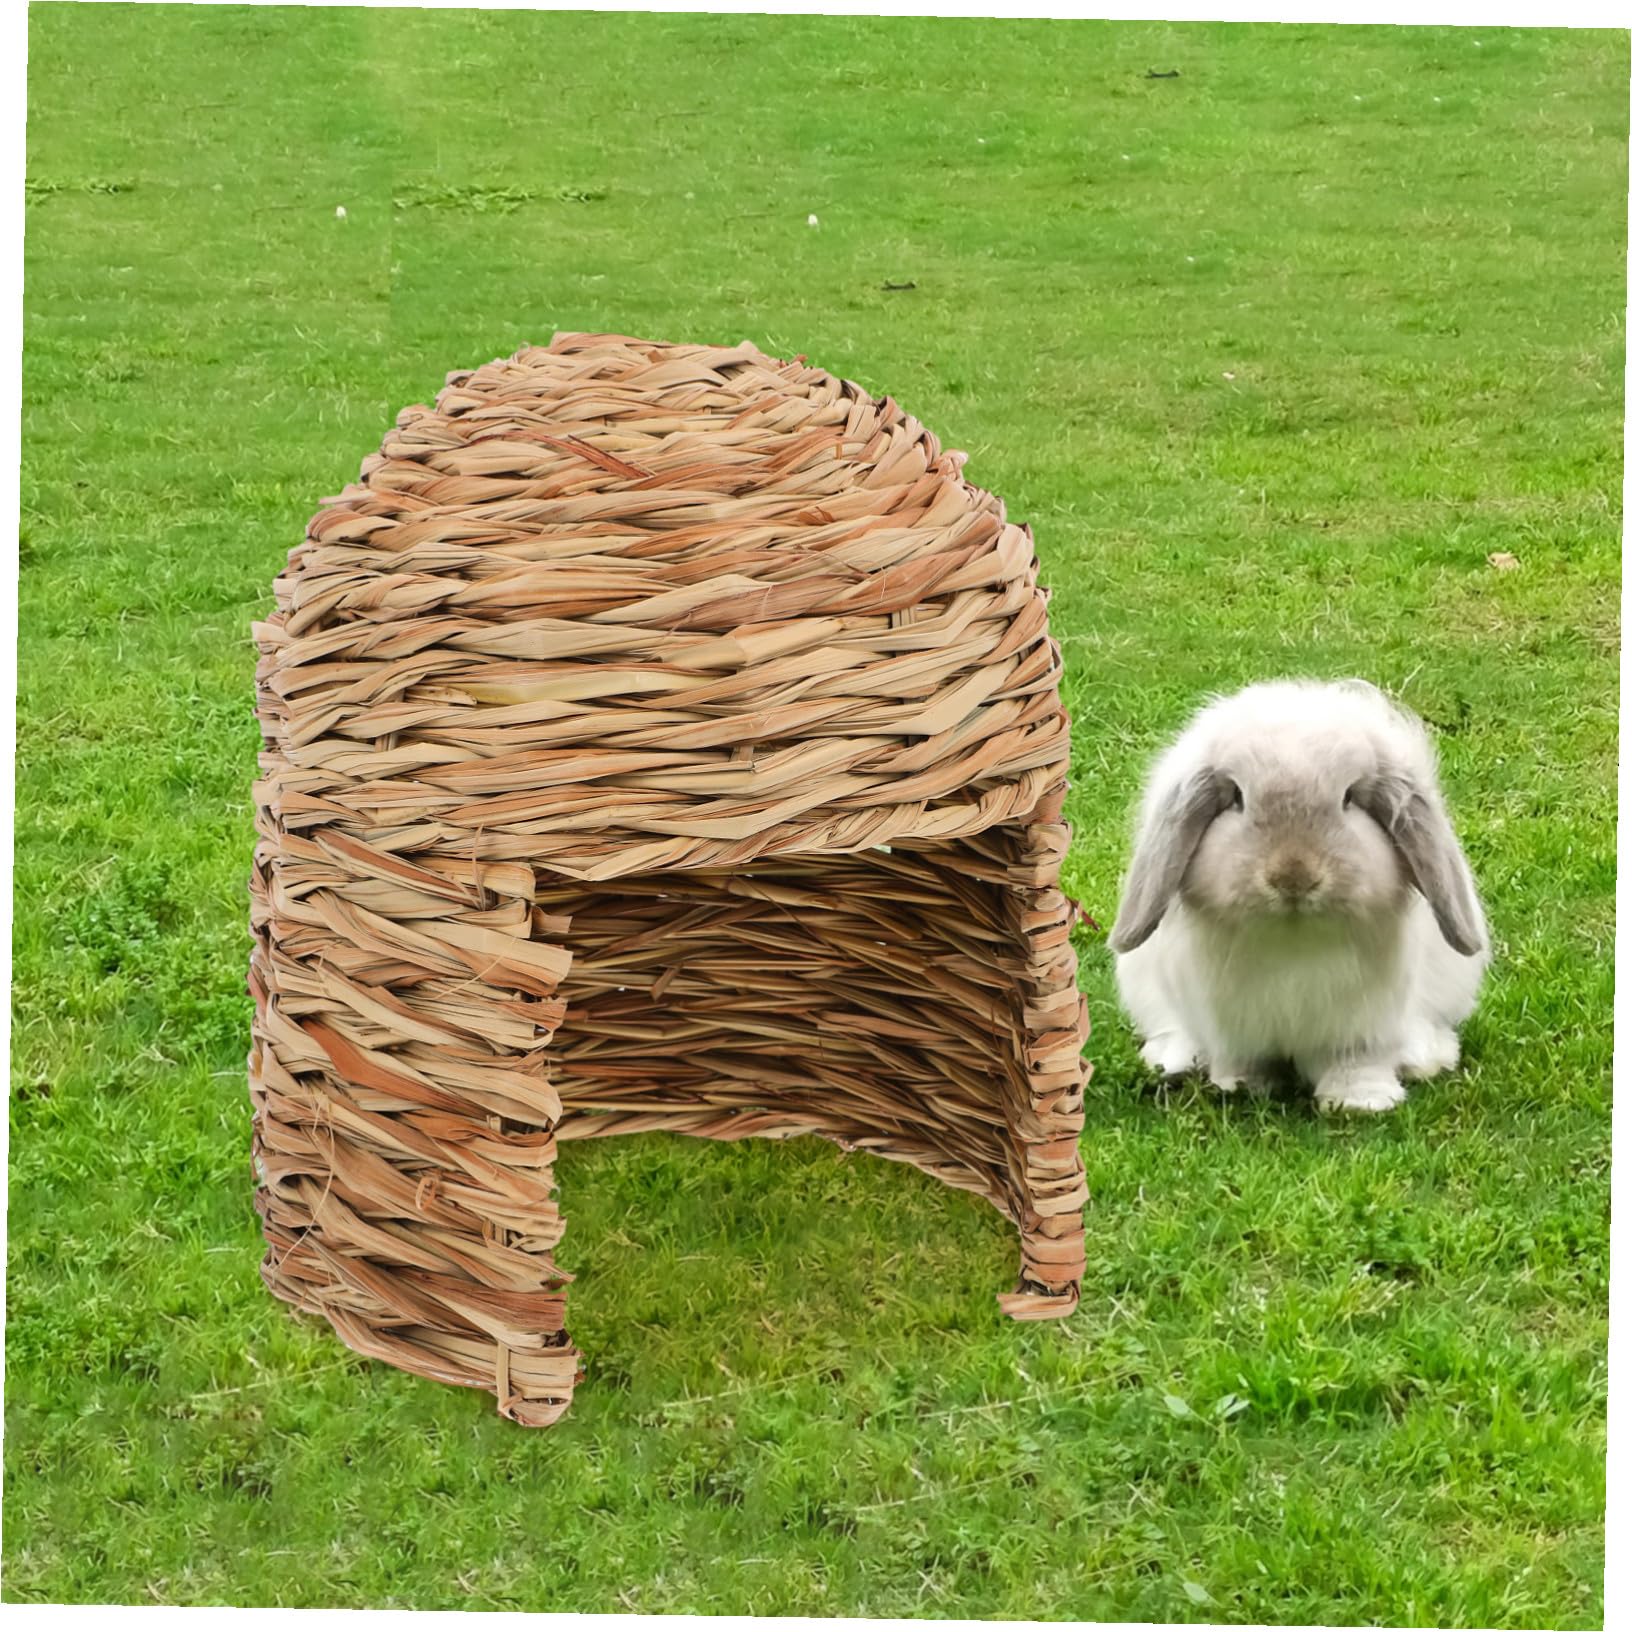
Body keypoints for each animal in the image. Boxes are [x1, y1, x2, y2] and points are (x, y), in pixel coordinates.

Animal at [1108, 679, 1489, 1114]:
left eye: (1349, 798)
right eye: (1237, 798)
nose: (1293, 878)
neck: (1292, 938)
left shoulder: (1362, 1028)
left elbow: (1356, 1061)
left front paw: (1360, 1102)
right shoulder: (1233, 1026)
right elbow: (1243, 1059)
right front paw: (1240, 1085)